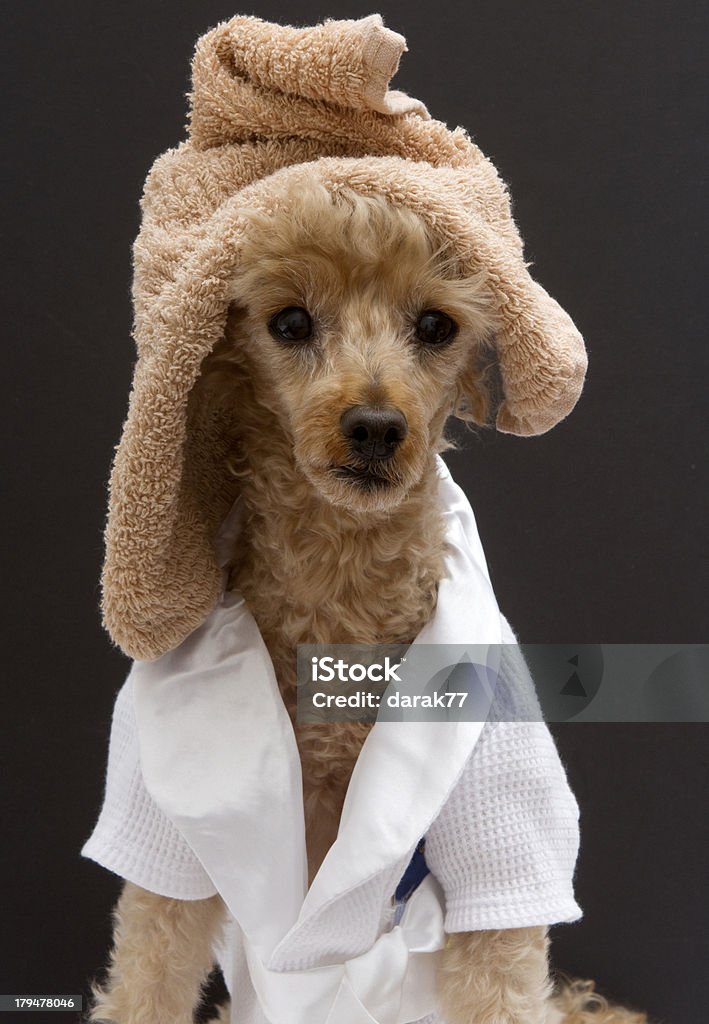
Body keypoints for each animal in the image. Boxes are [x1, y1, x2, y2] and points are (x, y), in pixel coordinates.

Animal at [90, 182, 647, 1024]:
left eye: (435, 325)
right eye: (289, 323)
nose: (377, 427)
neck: (340, 597)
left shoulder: (500, 842)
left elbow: (501, 975)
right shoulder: (163, 841)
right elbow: (146, 977)